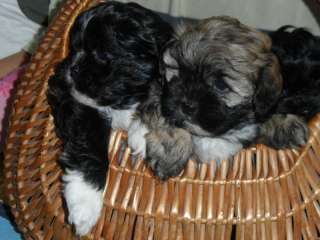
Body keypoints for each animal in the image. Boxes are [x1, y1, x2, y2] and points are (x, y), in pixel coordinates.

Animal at [46, 1, 174, 234]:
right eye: (74, 48)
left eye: (102, 54)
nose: (72, 67)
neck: (124, 99)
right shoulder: (76, 100)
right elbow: (91, 146)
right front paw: (85, 201)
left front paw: (143, 132)